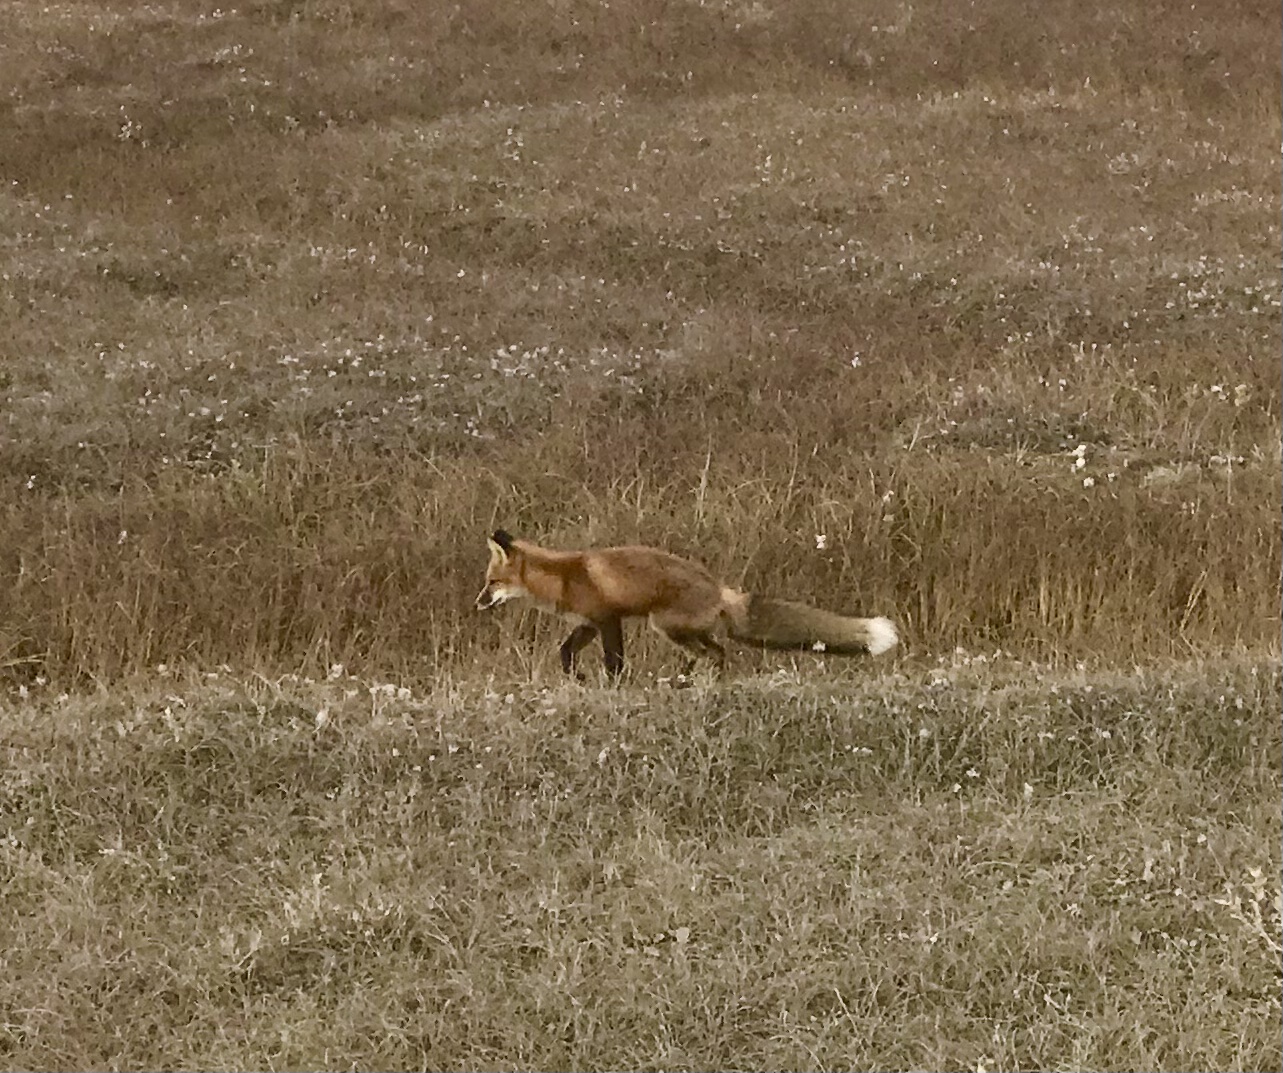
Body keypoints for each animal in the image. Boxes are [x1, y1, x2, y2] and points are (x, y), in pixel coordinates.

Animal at [474, 529, 898, 679]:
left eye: (491, 583)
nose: (477, 604)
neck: (563, 576)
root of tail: (720, 588)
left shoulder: (609, 619)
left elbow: (614, 663)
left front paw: (613, 686)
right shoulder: (588, 623)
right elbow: (565, 653)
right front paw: (576, 678)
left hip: (665, 625)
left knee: (712, 652)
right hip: (681, 630)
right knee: (716, 652)